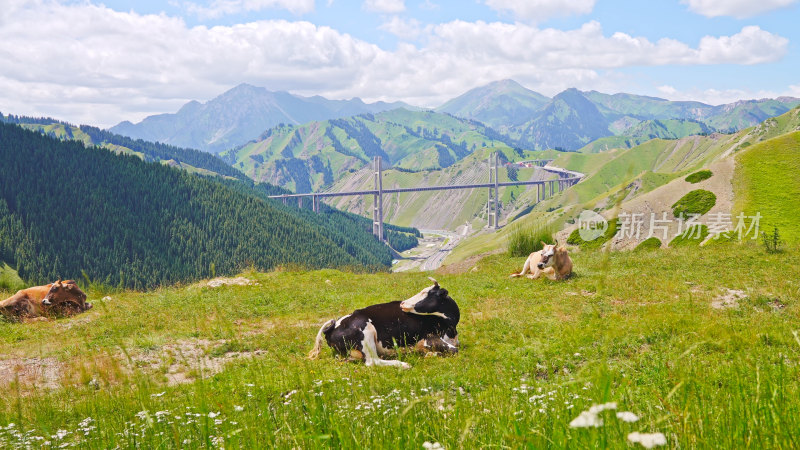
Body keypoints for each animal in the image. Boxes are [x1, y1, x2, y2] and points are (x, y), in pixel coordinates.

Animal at [308, 278, 460, 370]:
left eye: (425, 293)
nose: (402, 303)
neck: (449, 327)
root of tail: (334, 325)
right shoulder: (429, 338)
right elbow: (454, 350)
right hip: (366, 332)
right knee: (372, 361)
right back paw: (403, 364)